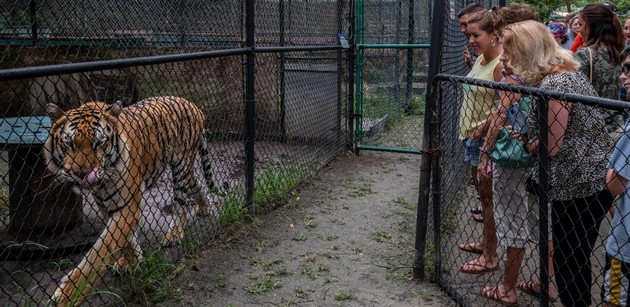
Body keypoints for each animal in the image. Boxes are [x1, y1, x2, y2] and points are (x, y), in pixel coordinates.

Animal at [43, 95, 217, 306]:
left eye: (98, 144)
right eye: (69, 144)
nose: (81, 174)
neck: (103, 182)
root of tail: (191, 104)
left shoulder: (128, 204)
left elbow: (100, 254)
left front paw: (67, 297)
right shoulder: (108, 205)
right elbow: (125, 239)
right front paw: (131, 261)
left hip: (181, 166)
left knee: (182, 202)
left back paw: (174, 234)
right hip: (186, 168)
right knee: (197, 181)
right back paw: (204, 207)